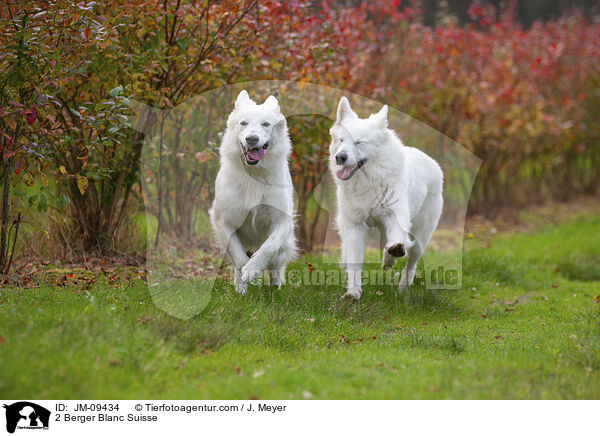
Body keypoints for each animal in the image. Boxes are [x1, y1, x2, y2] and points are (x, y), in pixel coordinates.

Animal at [210, 90, 296, 294]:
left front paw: (253, 269)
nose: (252, 139)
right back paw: (239, 289)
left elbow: (269, 246)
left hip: (281, 251)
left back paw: (275, 291)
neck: (253, 174)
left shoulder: (282, 221)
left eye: (266, 124)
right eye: (244, 123)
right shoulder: (225, 223)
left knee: (274, 267)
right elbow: (241, 260)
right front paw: (244, 282)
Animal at [330, 96, 442, 300]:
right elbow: (355, 263)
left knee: (410, 264)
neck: (368, 182)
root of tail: (433, 163)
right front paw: (353, 293)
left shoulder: (395, 217)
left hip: (420, 239)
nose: (340, 157)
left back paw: (403, 289)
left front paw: (393, 254)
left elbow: (397, 240)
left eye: (359, 142)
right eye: (341, 140)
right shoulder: (355, 226)